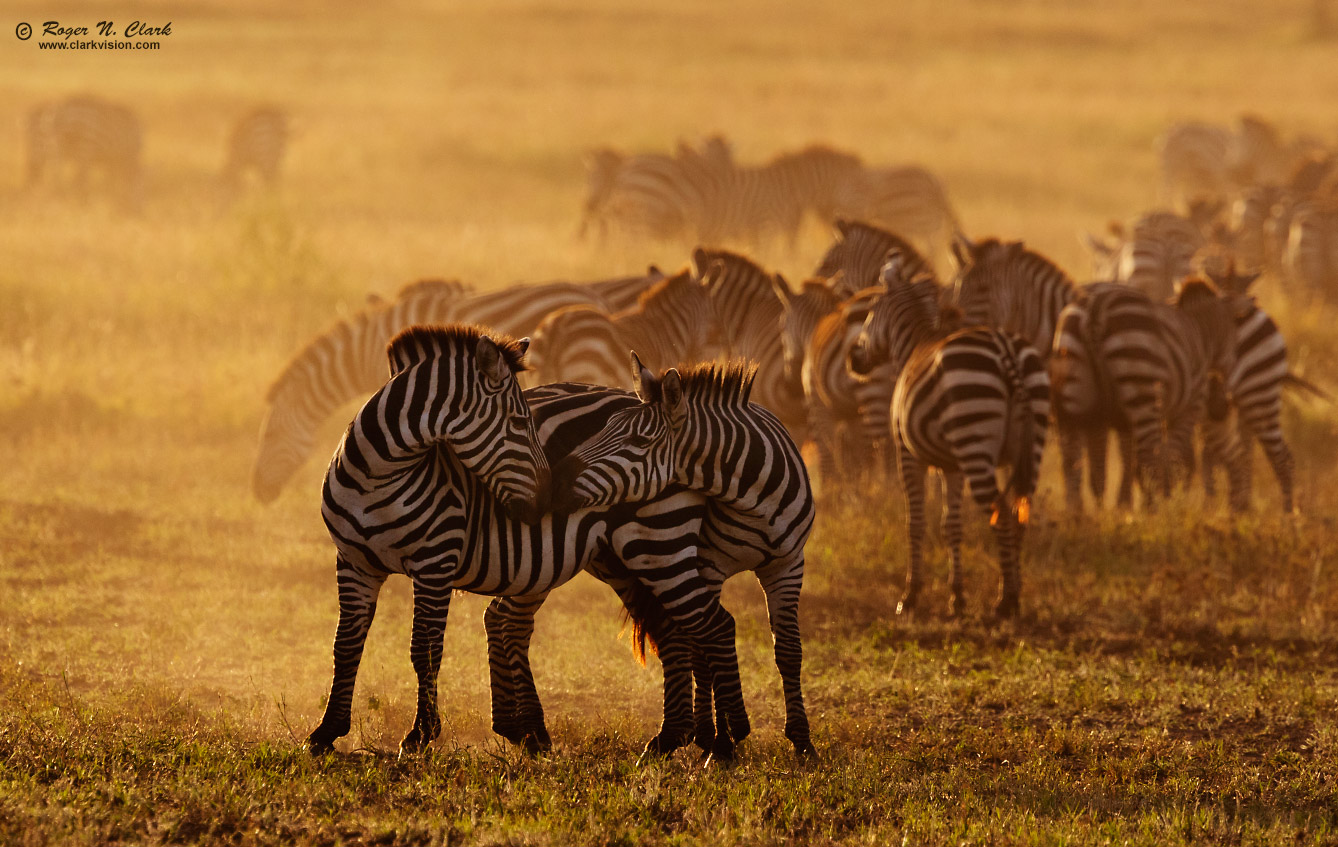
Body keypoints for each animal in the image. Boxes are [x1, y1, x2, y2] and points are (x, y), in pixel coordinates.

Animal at [313, 326, 754, 754]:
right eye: (517, 422)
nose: (548, 498)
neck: (377, 477)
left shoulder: (434, 563)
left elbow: (425, 650)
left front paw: (420, 734)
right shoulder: (352, 563)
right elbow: (345, 645)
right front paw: (327, 731)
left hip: (658, 540)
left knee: (697, 625)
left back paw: (701, 737)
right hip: (619, 560)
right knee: (671, 628)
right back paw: (673, 735)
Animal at [540, 361, 818, 754]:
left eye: (639, 442)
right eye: (605, 427)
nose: (556, 481)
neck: (754, 499)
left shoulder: (788, 565)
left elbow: (789, 652)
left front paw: (802, 741)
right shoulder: (707, 563)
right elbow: (705, 653)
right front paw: (719, 740)